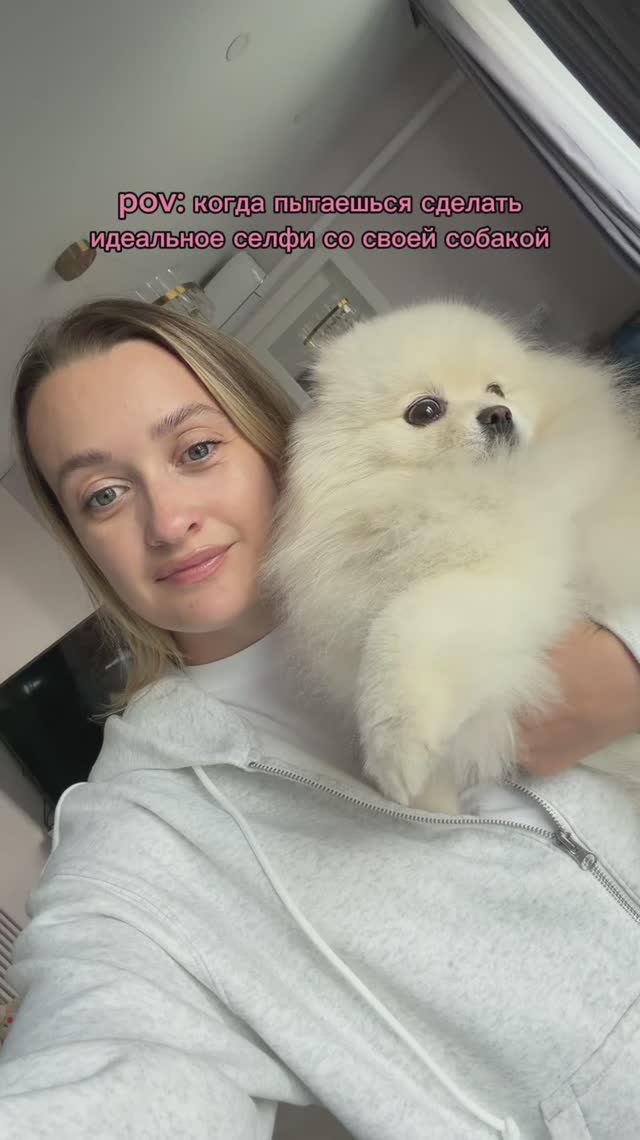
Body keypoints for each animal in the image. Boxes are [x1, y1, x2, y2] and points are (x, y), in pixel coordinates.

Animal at [266, 301, 640, 813]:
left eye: (496, 388)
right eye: (425, 411)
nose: (498, 413)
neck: (446, 494)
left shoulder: (516, 572)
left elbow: (404, 625)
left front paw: (395, 750)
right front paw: (433, 804)